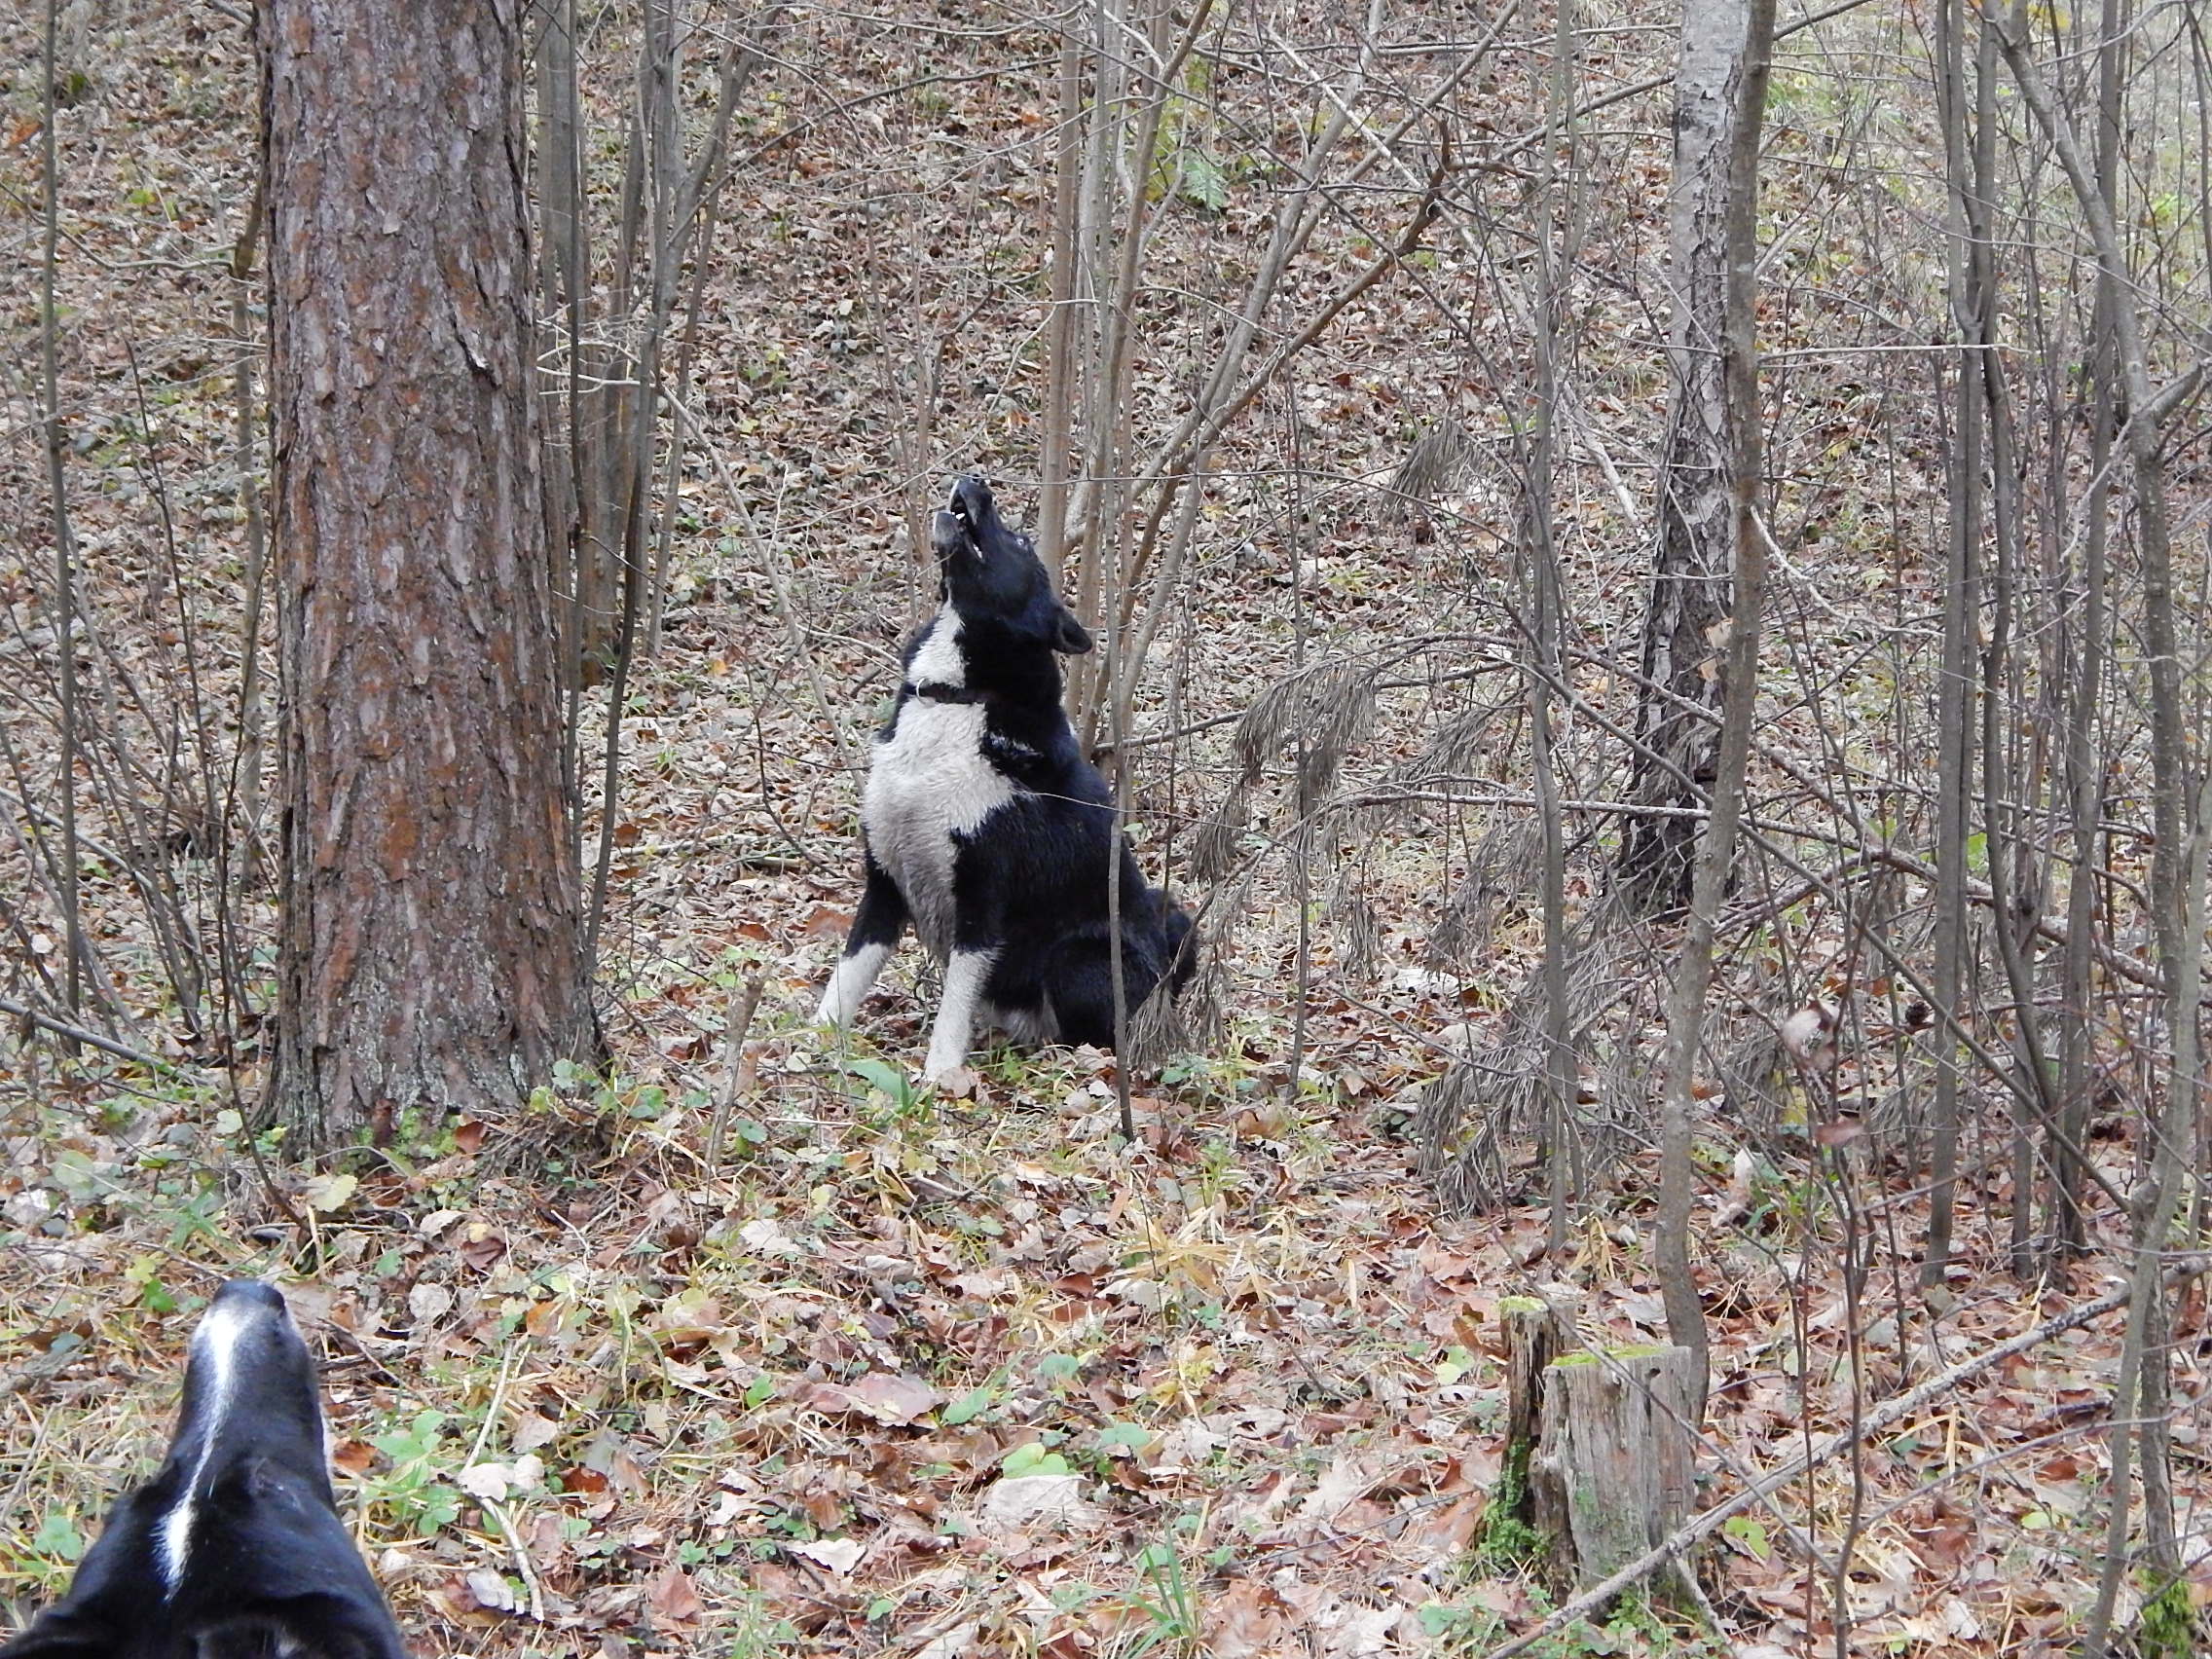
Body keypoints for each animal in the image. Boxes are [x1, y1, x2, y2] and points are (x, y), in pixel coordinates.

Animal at [818, 474, 1194, 1087]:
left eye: (1018, 542)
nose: (974, 481)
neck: (958, 698)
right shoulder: (883, 886)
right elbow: (846, 978)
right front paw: (810, 1042)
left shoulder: (983, 903)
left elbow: (953, 1005)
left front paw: (939, 1076)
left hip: (1081, 956)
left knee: (1096, 1033)